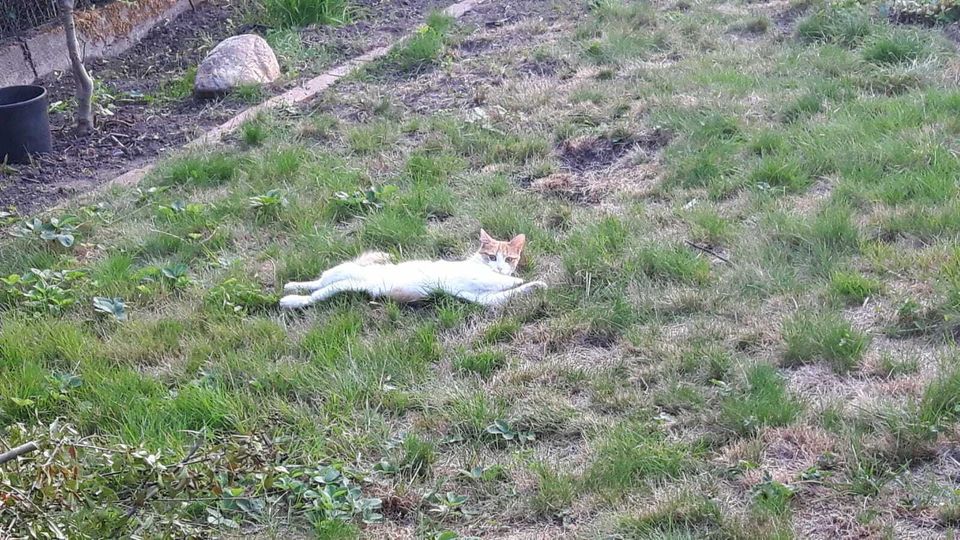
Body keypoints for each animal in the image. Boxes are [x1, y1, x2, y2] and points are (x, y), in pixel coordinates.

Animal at [278, 230, 548, 310]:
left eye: (509, 258)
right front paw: (520, 279)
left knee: (316, 292)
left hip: (342, 285)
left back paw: (290, 294)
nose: (501, 266)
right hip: (340, 272)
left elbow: (506, 293)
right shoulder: (478, 277)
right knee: (317, 282)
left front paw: (536, 285)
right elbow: (503, 281)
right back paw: (290, 291)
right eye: (492, 257)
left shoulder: (483, 298)